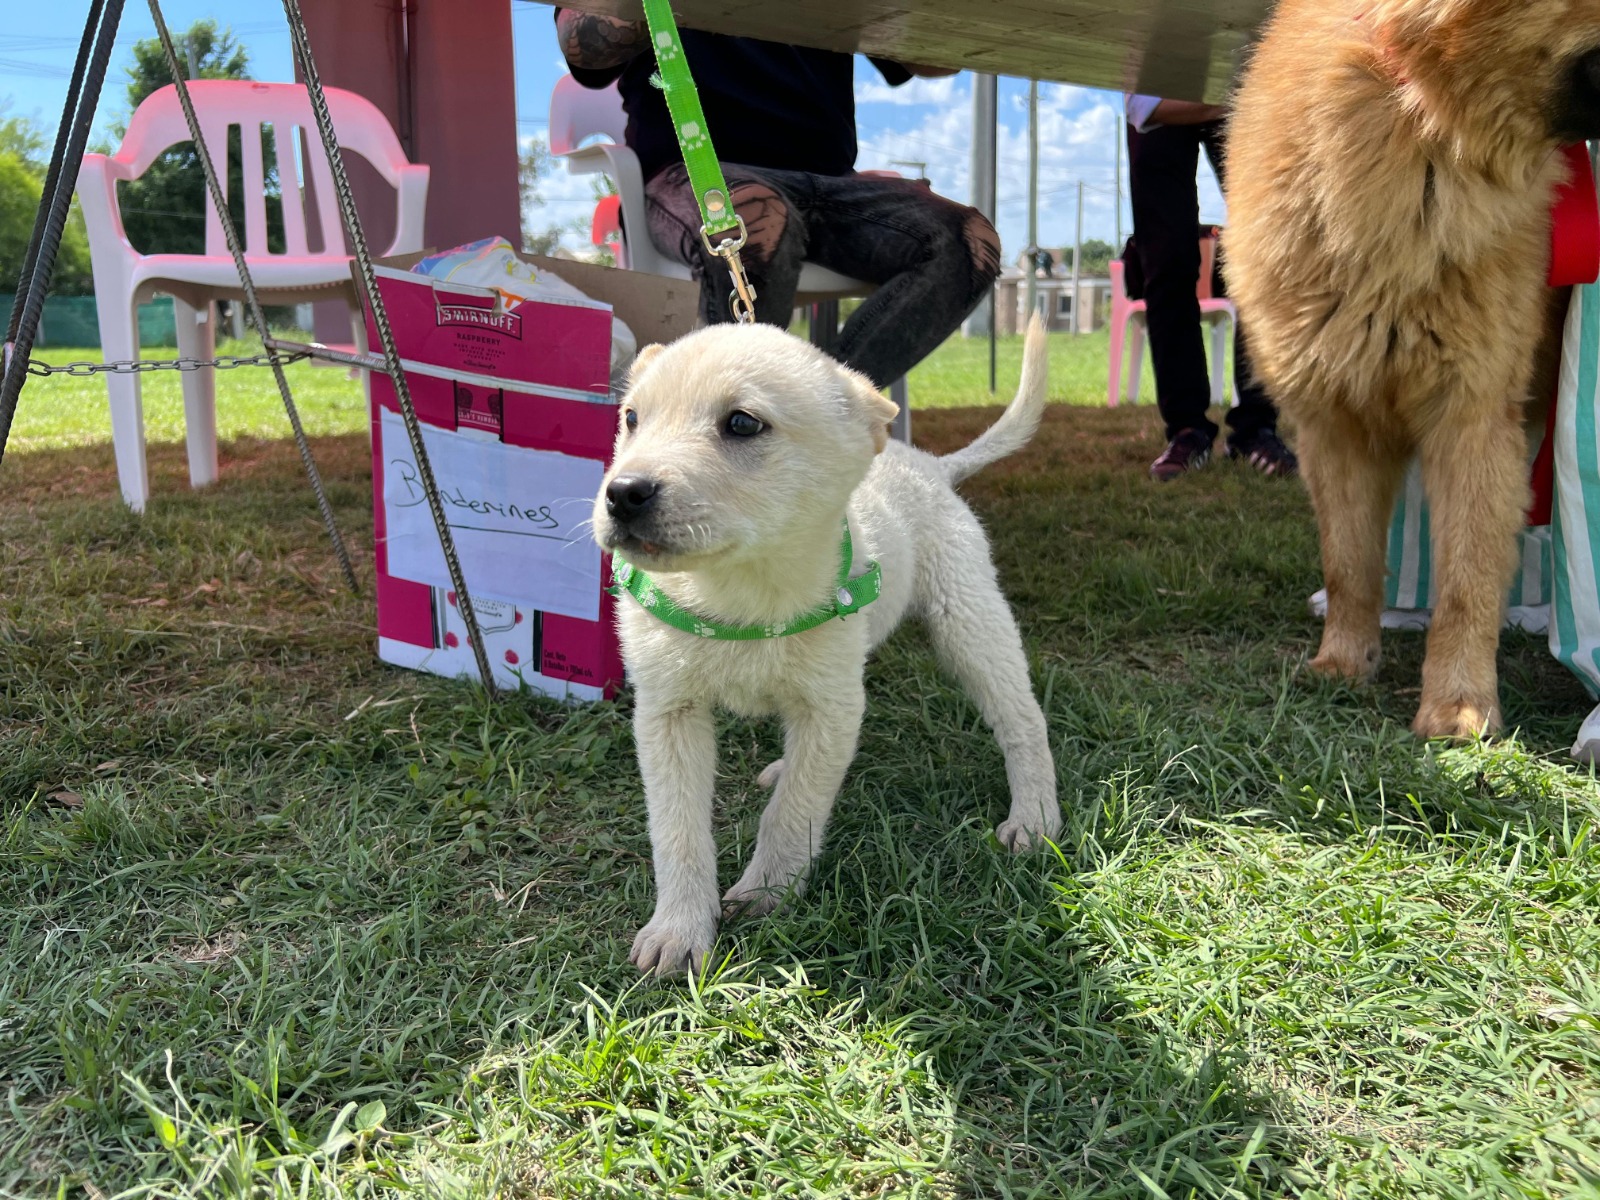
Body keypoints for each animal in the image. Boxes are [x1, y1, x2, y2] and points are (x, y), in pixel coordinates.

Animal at [595, 315, 1056, 972]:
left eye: (742, 423)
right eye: (632, 418)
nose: (623, 493)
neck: (741, 587)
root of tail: (931, 466)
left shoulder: (829, 704)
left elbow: (795, 811)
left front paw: (766, 891)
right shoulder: (668, 713)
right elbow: (678, 829)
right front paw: (679, 930)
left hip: (969, 622)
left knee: (1022, 719)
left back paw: (1035, 816)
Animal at [1216, 0, 1593, 742]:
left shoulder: (1473, 417)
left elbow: (1467, 577)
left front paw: (1459, 703)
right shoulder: (1334, 423)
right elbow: (1350, 563)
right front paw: (1344, 660)